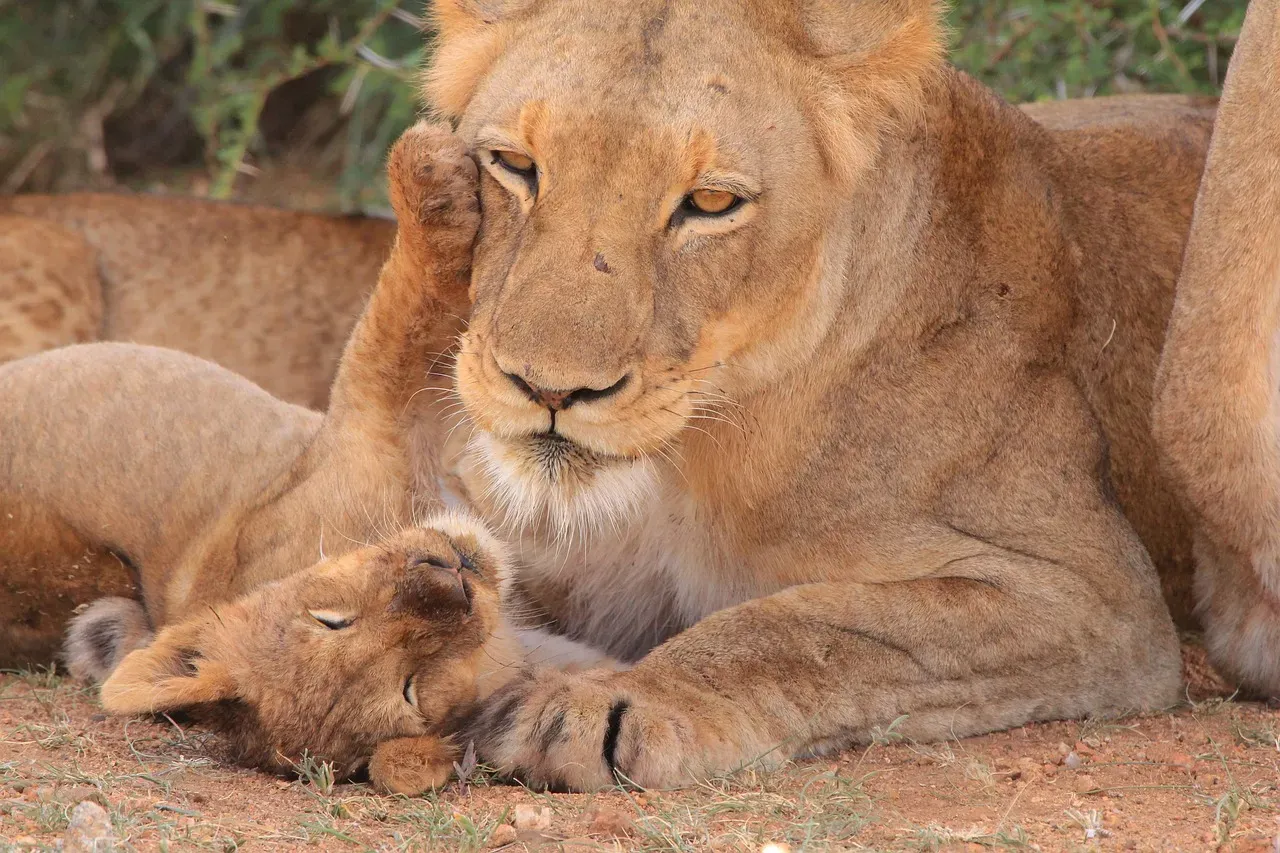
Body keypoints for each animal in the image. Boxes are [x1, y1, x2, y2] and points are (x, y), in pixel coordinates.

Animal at [374, 0, 1277, 792]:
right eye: (515, 166)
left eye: (710, 203)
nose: (549, 386)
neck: (689, 457)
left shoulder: (1094, 594)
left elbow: (812, 627)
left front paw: (613, 702)